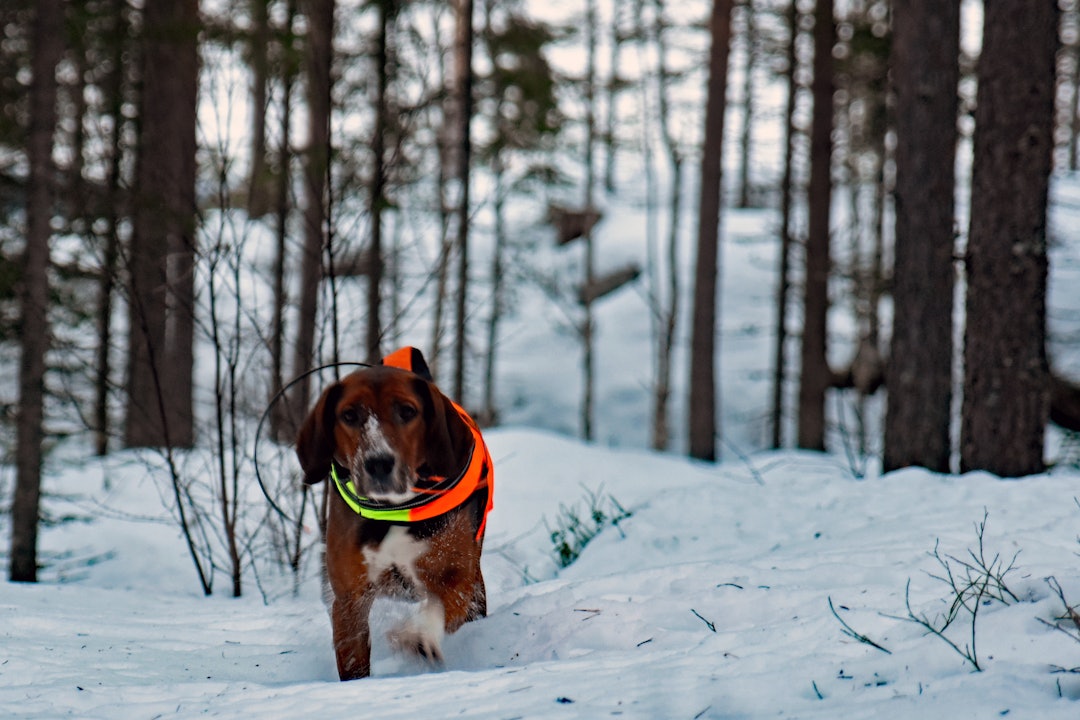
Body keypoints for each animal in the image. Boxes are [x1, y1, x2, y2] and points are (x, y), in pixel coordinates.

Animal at [298, 347, 494, 682]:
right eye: (349, 415)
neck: (394, 511)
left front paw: (418, 636)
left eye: (407, 411)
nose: (378, 463)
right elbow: (353, 660)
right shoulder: (349, 599)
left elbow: (437, 606)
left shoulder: (458, 579)